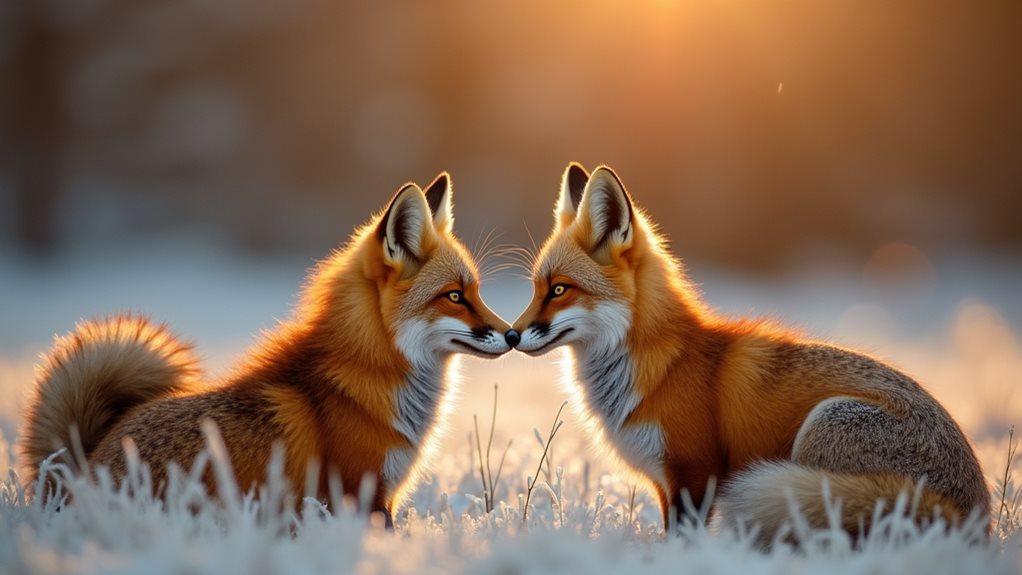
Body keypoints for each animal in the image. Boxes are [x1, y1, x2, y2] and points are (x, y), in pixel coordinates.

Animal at [19, 173, 513, 524]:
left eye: (475, 291)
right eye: (454, 296)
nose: (510, 334)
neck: (374, 373)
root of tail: (68, 476)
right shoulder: (360, 492)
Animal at [508, 162, 990, 543]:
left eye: (559, 290)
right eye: (535, 288)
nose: (511, 335)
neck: (659, 363)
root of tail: (975, 518)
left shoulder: (696, 470)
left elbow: (682, 539)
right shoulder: (666, 483)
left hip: (823, 426)